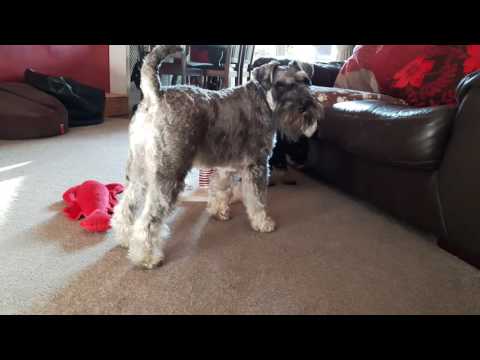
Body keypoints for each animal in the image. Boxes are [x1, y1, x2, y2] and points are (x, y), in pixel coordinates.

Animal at [111, 45, 322, 268]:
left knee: (126, 205)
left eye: (305, 81)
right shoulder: (257, 165)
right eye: (280, 85)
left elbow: (221, 189)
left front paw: (219, 211)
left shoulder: (225, 166)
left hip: (139, 171)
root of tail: (156, 96)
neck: (263, 101)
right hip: (169, 174)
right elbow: (257, 199)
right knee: (149, 220)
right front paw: (263, 222)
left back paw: (124, 238)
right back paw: (147, 256)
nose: (305, 107)